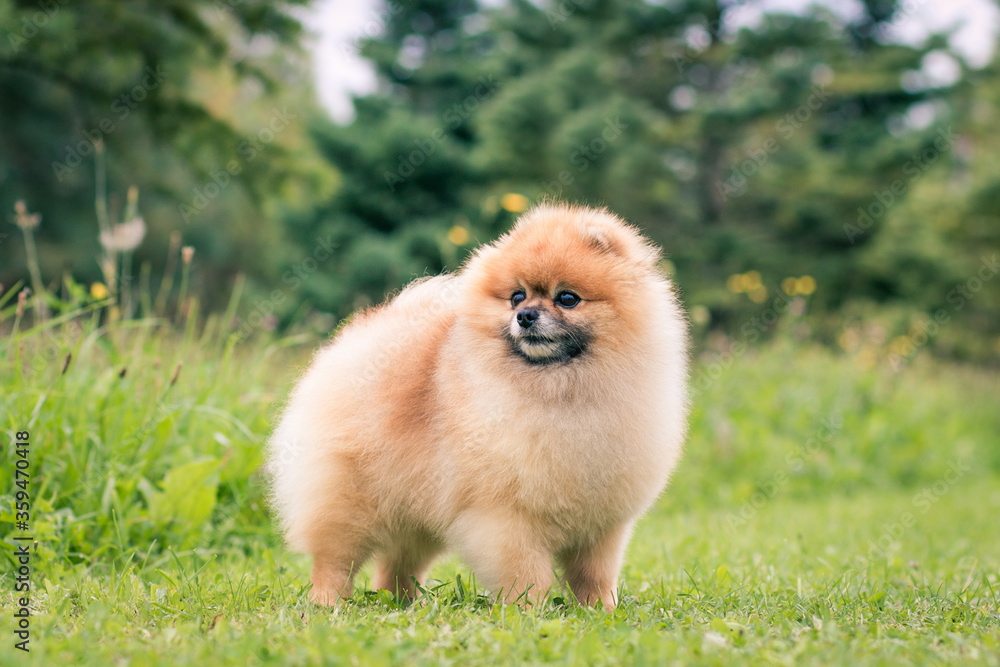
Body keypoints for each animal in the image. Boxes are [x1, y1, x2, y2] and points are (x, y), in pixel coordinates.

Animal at [266, 204, 688, 612]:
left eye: (567, 298)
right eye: (517, 296)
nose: (525, 316)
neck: (558, 389)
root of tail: (367, 334)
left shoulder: (603, 524)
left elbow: (594, 575)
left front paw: (600, 610)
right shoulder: (506, 517)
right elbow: (526, 572)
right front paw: (529, 612)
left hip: (418, 511)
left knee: (396, 564)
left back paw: (404, 602)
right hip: (350, 502)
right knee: (335, 559)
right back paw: (328, 603)